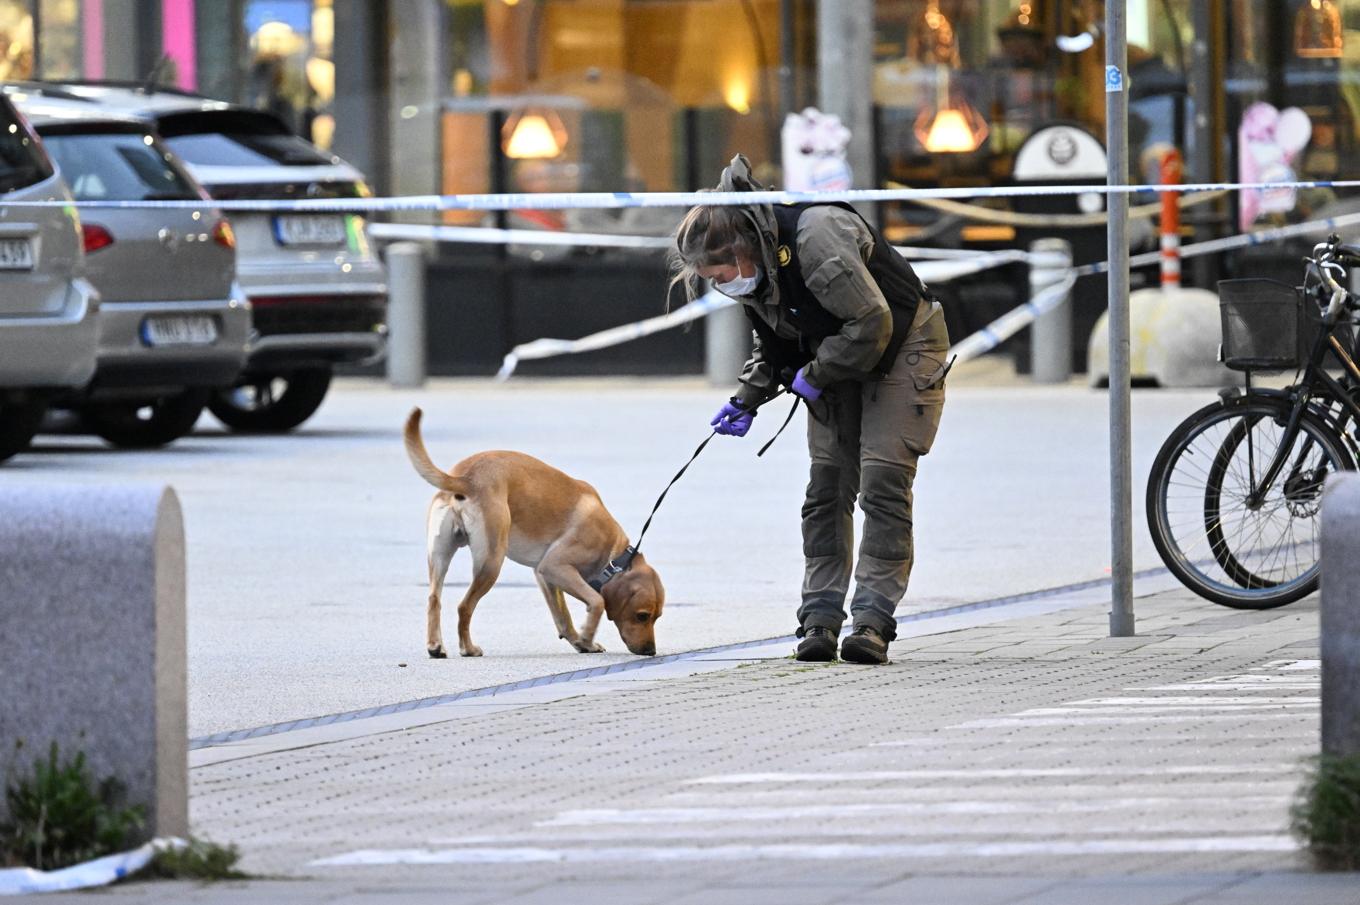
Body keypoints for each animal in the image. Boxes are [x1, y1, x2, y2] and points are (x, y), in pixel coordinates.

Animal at [399, 408, 660, 655]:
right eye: (642, 615)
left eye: (657, 617)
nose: (651, 651)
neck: (615, 557)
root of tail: (466, 478)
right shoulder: (555, 566)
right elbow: (597, 601)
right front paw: (587, 635)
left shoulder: (545, 575)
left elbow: (562, 617)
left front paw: (580, 642)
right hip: (491, 562)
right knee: (464, 607)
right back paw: (468, 648)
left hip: (440, 555)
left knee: (434, 599)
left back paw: (436, 646)